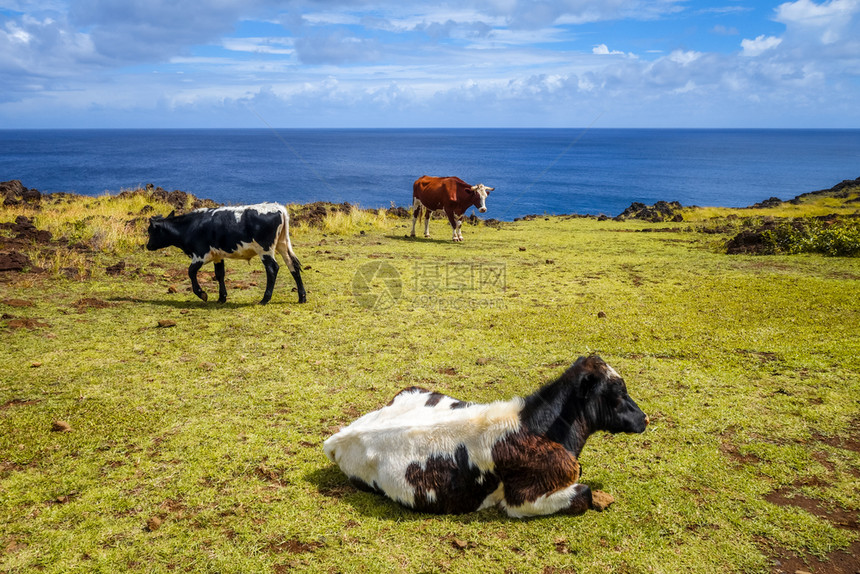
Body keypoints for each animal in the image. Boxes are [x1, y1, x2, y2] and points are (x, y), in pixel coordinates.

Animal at [146, 206, 308, 308]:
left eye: (150, 231)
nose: (148, 246)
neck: (191, 227)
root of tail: (278, 208)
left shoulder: (200, 255)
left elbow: (191, 272)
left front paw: (202, 294)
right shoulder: (218, 256)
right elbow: (219, 274)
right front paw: (221, 297)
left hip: (265, 250)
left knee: (273, 269)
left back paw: (264, 299)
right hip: (282, 244)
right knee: (293, 266)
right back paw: (302, 297)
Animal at [326, 358, 648, 520]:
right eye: (618, 393)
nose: (645, 419)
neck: (539, 427)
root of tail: (337, 437)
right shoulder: (521, 501)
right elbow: (585, 493)